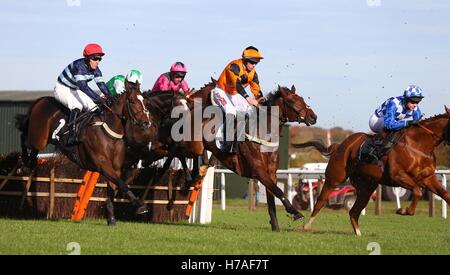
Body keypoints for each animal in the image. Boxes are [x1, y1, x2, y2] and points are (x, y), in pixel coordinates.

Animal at [15, 82, 156, 224]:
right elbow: (122, 184)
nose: (146, 122)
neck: (109, 130)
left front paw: (111, 218)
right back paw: (23, 165)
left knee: (30, 146)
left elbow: (113, 188)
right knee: (23, 137)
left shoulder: (115, 168)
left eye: (144, 101)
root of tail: (42, 99)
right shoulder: (103, 165)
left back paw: (29, 163)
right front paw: (140, 206)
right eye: (132, 101)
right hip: (39, 139)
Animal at [188, 82, 318, 233]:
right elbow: (278, 190)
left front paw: (275, 226)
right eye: (291, 101)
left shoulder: (271, 173)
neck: (263, 135)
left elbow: (271, 198)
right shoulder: (258, 171)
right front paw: (295, 212)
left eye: (302, 99)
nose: (313, 117)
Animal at [292, 106, 450, 236]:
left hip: (366, 187)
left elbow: (445, 195)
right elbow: (417, 191)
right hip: (334, 178)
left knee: (354, 211)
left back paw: (358, 234)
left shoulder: (428, 178)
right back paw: (307, 226)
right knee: (321, 201)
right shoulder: (397, 176)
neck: (418, 145)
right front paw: (403, 210)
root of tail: (340, 145)